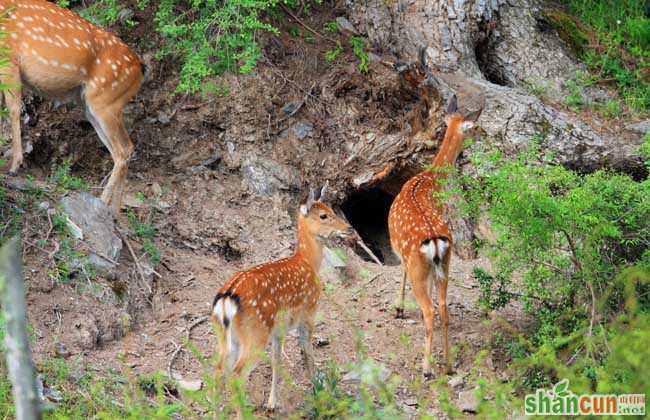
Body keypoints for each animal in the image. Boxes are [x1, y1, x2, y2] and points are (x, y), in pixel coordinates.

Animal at [0, 0, 144, 210]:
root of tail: (141, 70)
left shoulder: (9, 56)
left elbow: (12, 108)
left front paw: (13, 166)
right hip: (94, 107)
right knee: (121, 150)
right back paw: (114, 211)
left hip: (106, 102)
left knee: (124, 149)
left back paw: (102, 202)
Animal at [384, 92, 480, 378]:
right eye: (475, 127)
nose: (482, 134)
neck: (429, 181)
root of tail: (436, 243)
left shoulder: (399, 248)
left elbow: (401, 272)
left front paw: (399, 309)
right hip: (446, 265)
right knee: (444, 308)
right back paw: (447, 364)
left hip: (419, 264)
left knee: (429, 310)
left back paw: (426, 368)